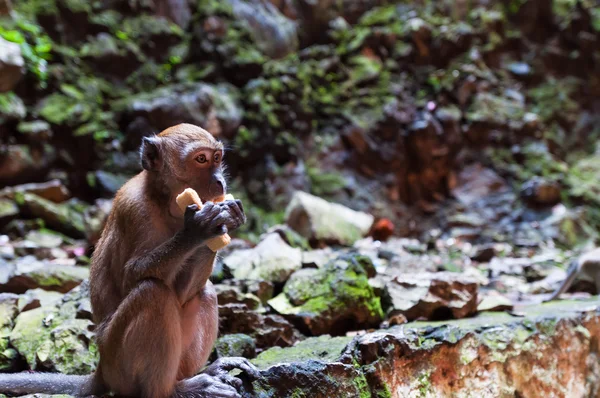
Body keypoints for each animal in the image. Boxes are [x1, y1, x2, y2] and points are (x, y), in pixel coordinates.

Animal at [0, 123, 258, 396]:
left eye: (217, 158)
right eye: (201, 159)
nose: (220, 181)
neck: (164, 200)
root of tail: (102, 369)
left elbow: (183, 292)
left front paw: (226, 218)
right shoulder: (133, 208)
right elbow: (132, 276)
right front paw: (198, 230)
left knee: (204, 291)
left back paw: (204, 372)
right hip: (118, 364)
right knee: (152, 292)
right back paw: (176, 389)